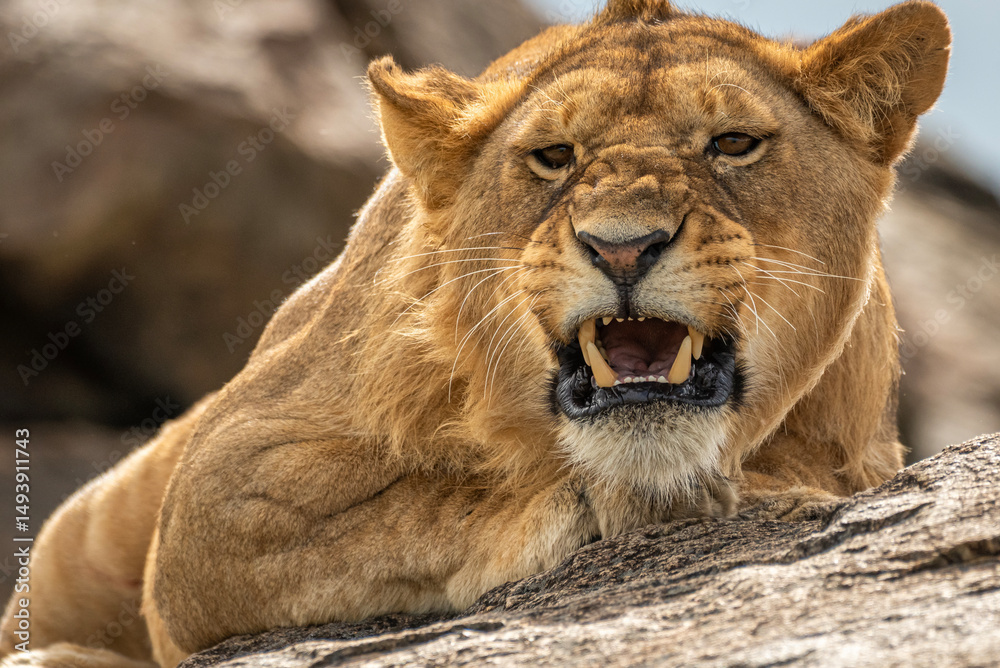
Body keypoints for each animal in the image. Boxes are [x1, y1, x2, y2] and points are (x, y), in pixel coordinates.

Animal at [1, 1, 950, 665]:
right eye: (555, 157)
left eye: (734, 143)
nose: (623, 245)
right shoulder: (218, 489)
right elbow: (414, 509)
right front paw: (623, 500)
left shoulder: (865, 454)